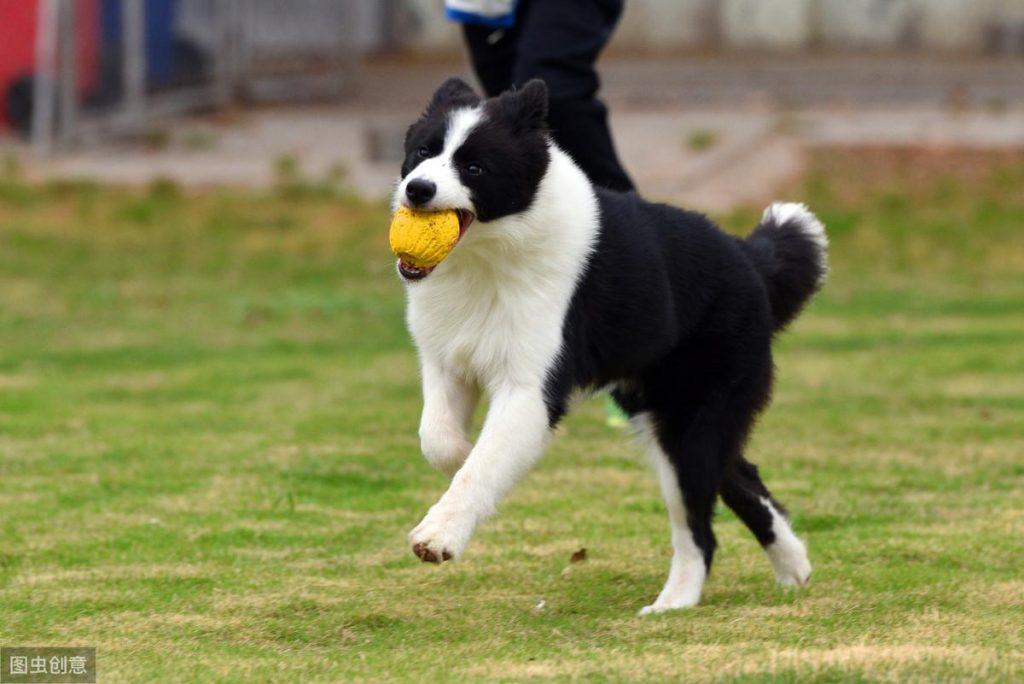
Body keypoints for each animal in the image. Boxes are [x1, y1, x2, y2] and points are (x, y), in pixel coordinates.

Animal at [391, 77, 823, 610]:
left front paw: (438, 536)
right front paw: (460, 452)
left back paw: (672, 604)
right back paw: (793, 566)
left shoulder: (531, 389)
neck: (490, 256)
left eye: (473, 167)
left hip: (692, 419)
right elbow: (439, 440)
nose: (417, 189)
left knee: (700, 529)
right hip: (671, 415)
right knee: (740, 475)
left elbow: (482, 465)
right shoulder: (446, 359)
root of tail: (750, 260)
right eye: (423, 152)